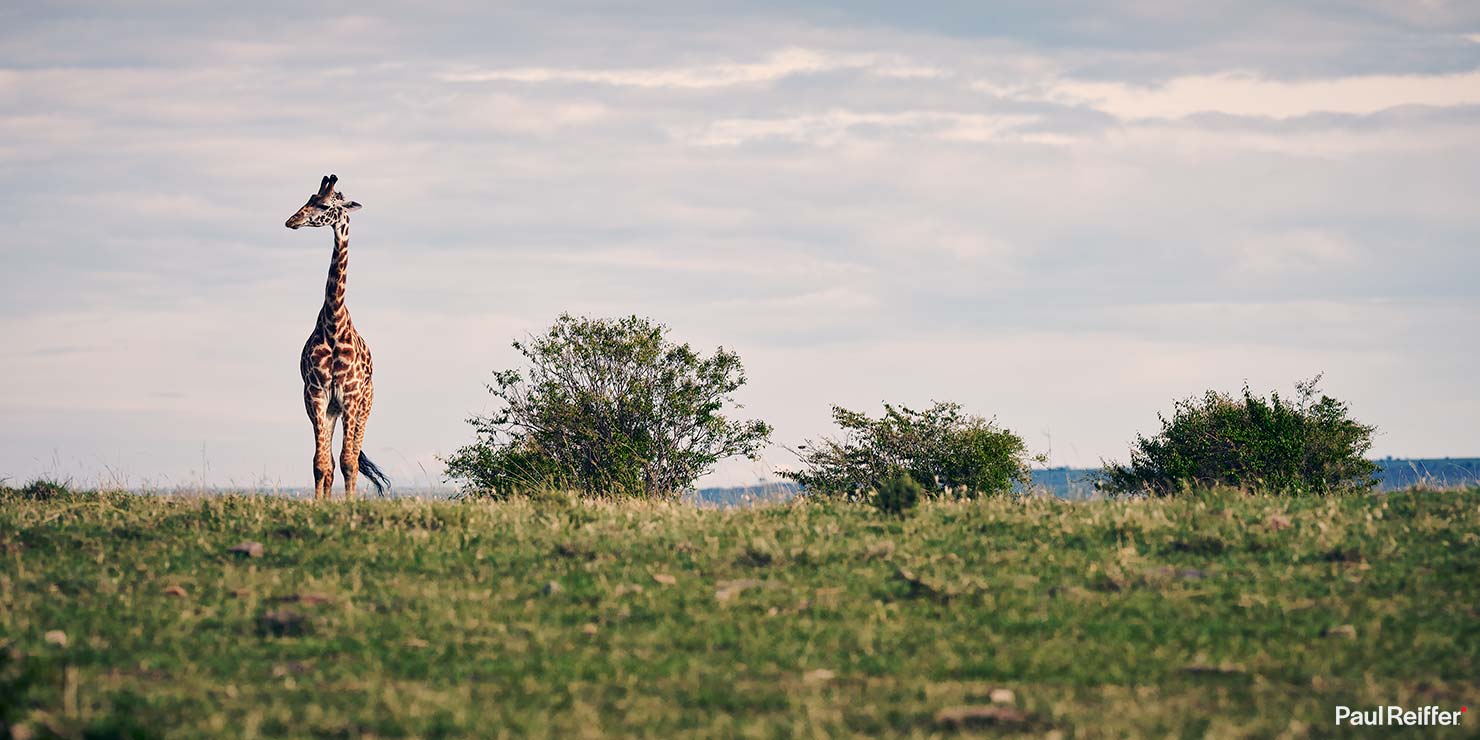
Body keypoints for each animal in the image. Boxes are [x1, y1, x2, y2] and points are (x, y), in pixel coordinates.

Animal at [285, 174, 390, 499]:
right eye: (309, 198)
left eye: (324, 204)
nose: (291, 221)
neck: (333, 324)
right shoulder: (316, 394)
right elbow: (322, 463)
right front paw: (321, 504)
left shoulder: (351, 396)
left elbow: (348, 461)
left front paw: (349, 503)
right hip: (330, 409)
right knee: (329, 461)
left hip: (365, 406)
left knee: (352, 455)